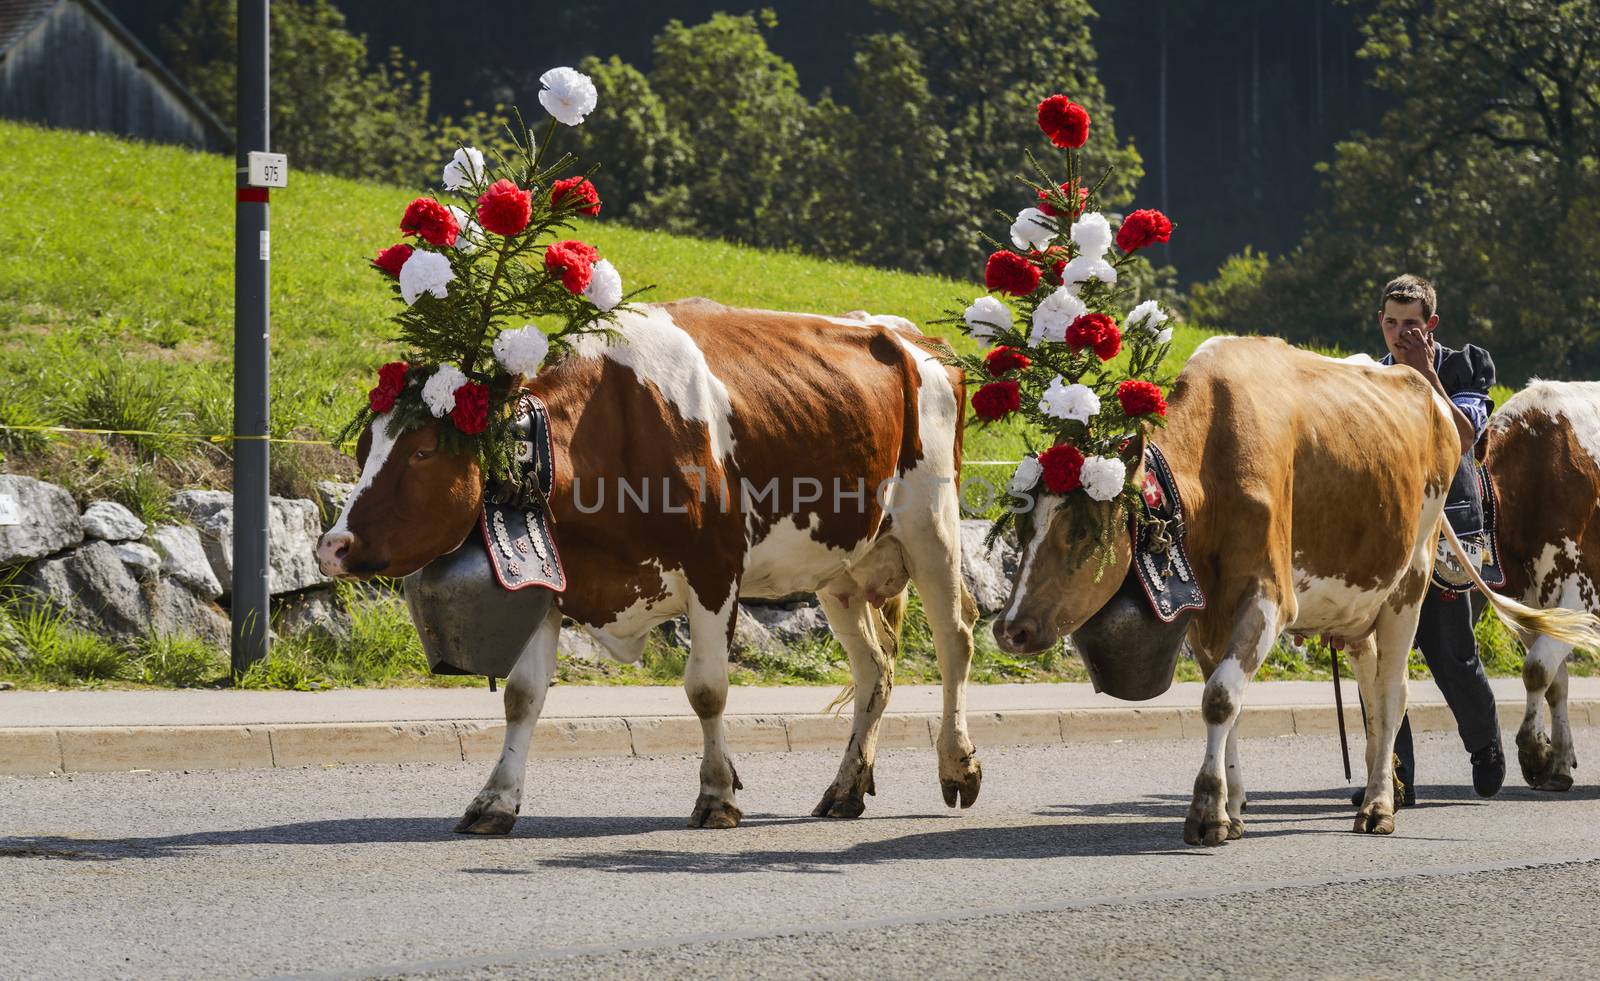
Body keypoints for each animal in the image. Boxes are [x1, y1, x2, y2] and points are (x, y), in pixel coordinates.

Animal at [985, 336, 1600, 838]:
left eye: (1081, 530)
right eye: (1023, 526)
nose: (1010, 629)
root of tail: (1436, 401)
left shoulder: (1269, 595)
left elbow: (1219, 698)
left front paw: (1206, 810)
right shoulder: (1208, 613)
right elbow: (1226, 703)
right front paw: (1232, 806)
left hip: (1410, 584)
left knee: (1395, 692)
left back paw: (1379, 807)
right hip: (1360, 602)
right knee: (1373, 692)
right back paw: (1383, 786)